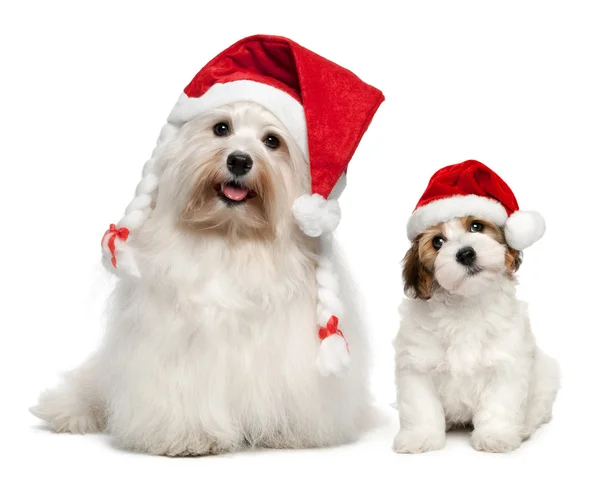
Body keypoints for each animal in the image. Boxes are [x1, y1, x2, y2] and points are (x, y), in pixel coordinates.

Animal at [32, 103, 372, 458]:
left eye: (272, 141)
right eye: (221, 128)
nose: (239, 160)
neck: (230, 234)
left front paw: (286, 431)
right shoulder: (175, 344)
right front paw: (190, 437)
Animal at [394, 216, 556, 454]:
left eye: (476, 226)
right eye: (437, 242)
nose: (465, 254)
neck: (465, 303)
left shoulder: (506, 364)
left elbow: (499, 403)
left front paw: (495, 436)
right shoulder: (417, 364)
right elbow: (421, 405)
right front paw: (420, 437)